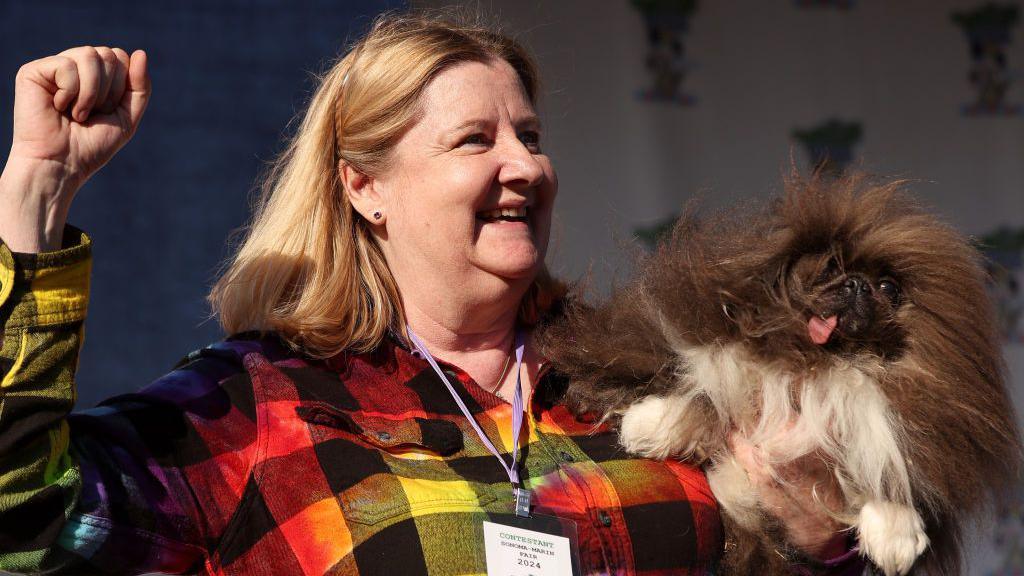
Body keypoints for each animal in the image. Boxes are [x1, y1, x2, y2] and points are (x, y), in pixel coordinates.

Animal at [540, 171, 1019, 573]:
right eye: (828, 268)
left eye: (888, 288)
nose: (857, 285)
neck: (822, 361)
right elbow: (705, 395)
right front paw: (648, 426)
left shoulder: (889, 423)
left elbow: (885, 470)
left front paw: (896, 539)